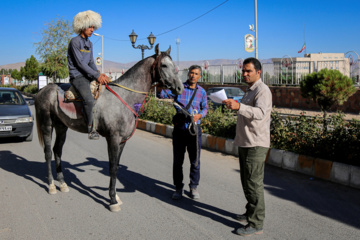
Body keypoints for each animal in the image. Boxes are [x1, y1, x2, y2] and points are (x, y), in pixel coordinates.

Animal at [35, 45, 184, 212]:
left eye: (173, 65)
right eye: (164, 65)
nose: (180, 88)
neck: (124, 97)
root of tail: (43, 90)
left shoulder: (122, 141)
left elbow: (117, 167)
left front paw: (115, 196)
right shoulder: (113, 138)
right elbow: (112, 168)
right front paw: (112, 200)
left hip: (62, 127)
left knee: (57, 151)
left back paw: (62, 183)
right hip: (47, 124)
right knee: (48, 153)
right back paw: (51, 185)